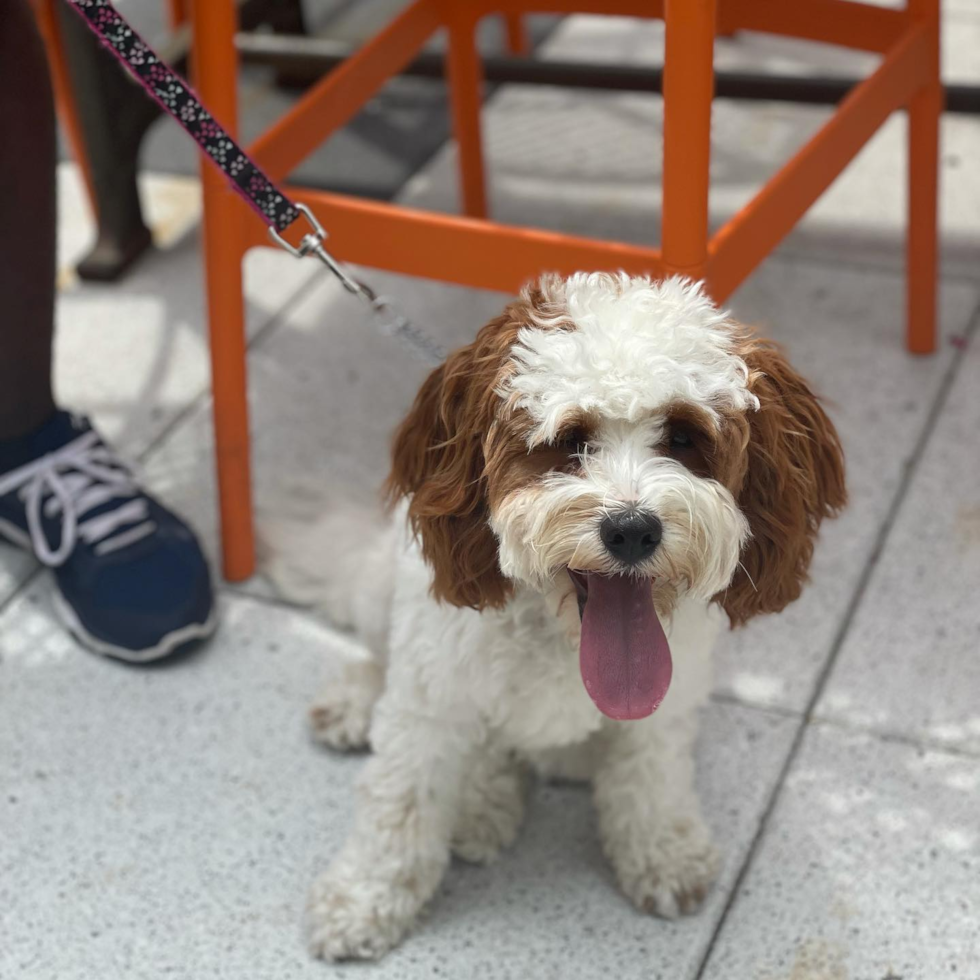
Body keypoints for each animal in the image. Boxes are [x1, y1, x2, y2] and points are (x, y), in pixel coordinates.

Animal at [266, 272, 844, 960]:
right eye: (569, 442)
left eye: (683, 436)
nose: (631, 529)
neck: (562, 634)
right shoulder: (431, 702)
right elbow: (399, 804)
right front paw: (363, 900)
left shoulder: (665, 709)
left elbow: (653, 777)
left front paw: (664, 852)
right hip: (389, 593)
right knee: (379, 651)